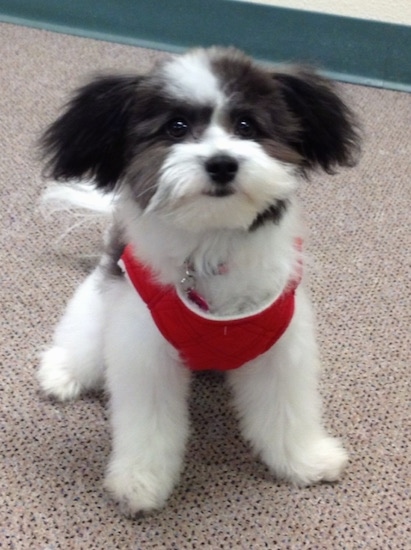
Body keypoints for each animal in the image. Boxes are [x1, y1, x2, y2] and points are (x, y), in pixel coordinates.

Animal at [37, 46, 360, 516]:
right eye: (176, 127)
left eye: (246, 125)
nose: (222, 163)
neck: (210, 247)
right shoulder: (144, 351)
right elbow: (148, 424)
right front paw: (140, 482)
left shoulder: (281, 347)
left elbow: (286, 409)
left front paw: (304, 460)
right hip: (99, 307)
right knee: (83, 343)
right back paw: (63, 372)